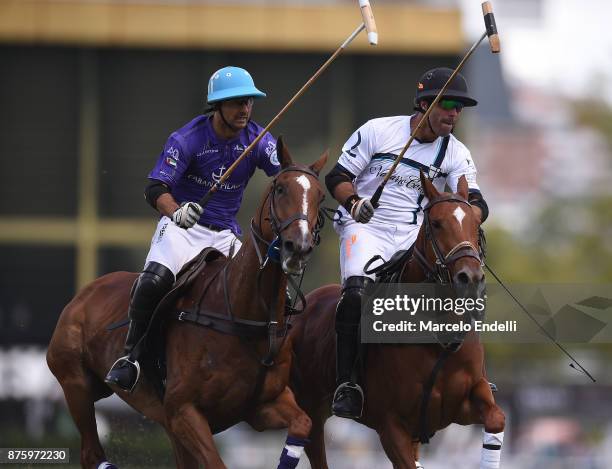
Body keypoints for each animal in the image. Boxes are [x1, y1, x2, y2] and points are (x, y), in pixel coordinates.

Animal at [47, 139, 328, 468]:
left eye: (320, 195)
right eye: (280, 188)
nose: (299, 247)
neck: (241, 313)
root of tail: (84, 293)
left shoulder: (263, 405)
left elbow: (303, 423)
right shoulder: (183, 410)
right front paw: (186, 212)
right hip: (75, 384)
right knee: (92, 452)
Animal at [290, 173, 504, 468]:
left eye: (475, 223)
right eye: (436, 223)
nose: (470, 278)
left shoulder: (463, 404)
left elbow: (497, 417)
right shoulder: (391, 426)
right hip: (311, 407)